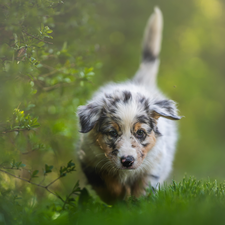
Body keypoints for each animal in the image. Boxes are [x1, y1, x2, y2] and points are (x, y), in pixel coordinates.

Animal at [77, 7, 181, 204]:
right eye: (112, 133)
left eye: (140, 133)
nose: (127, 161)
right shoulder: (89, 160)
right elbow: (108, 185)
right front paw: (118, 198)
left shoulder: (153, 166)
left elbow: (143, 189)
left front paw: (136, 204)